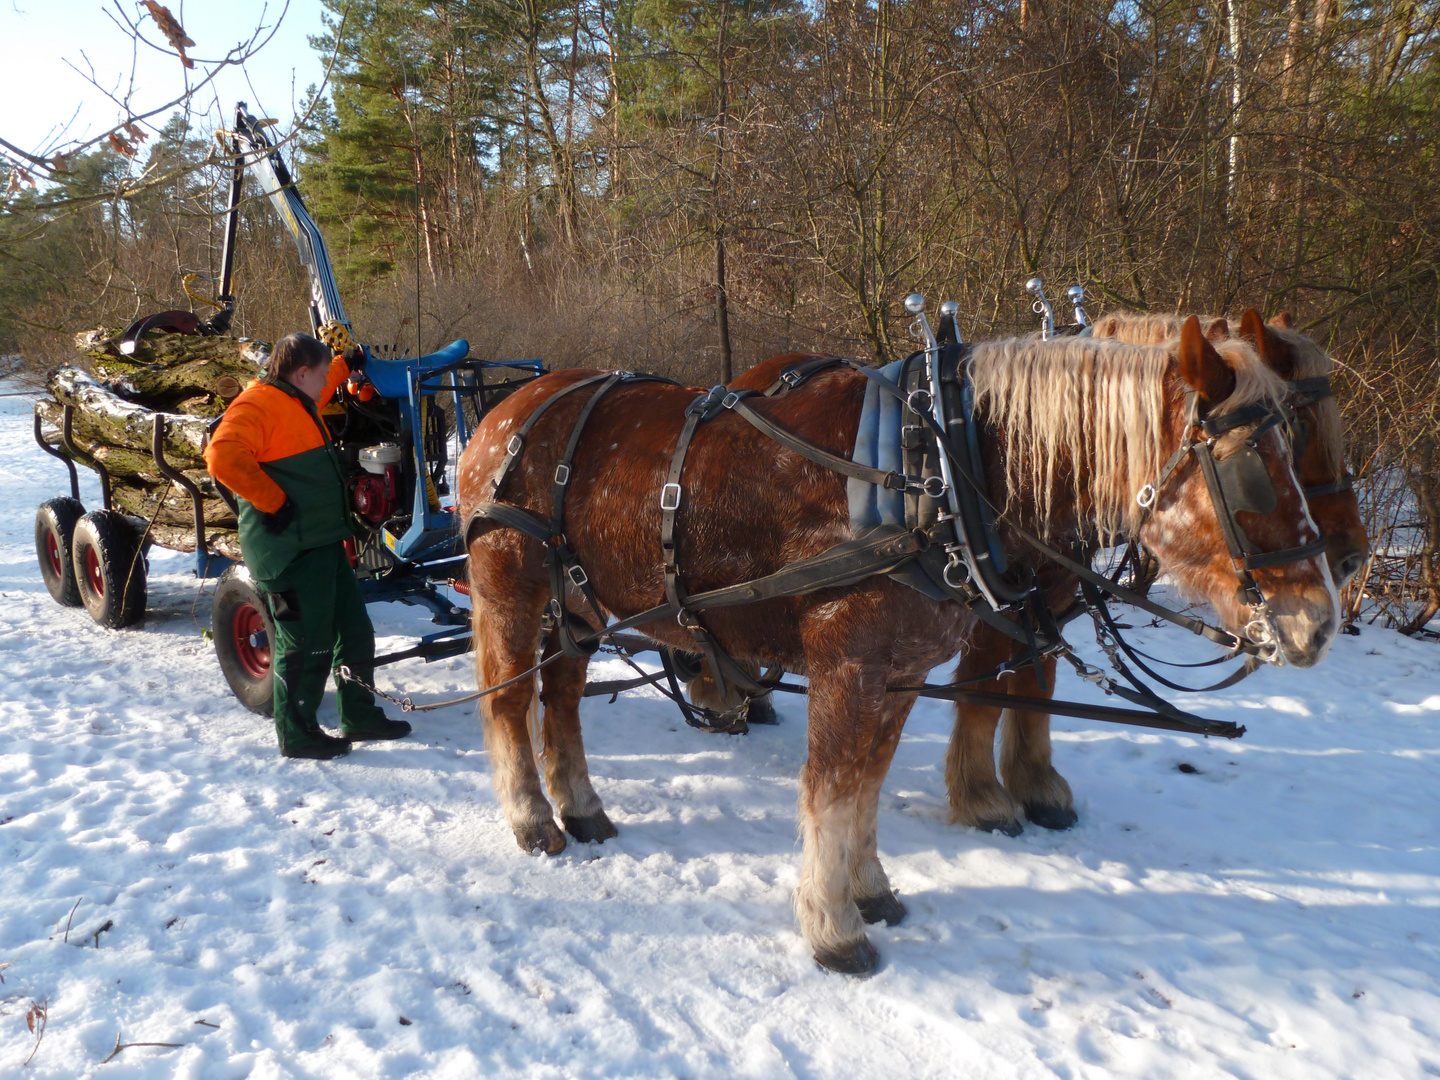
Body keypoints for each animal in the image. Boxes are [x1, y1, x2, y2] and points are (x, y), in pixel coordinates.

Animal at [938, 311, 1365, 835]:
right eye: (1298, 425)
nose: (1351, 557)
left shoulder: (1048, 601)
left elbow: (1036, 683)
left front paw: (1035, 783)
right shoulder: (994, 608)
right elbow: (982, 691)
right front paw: (980, 796)